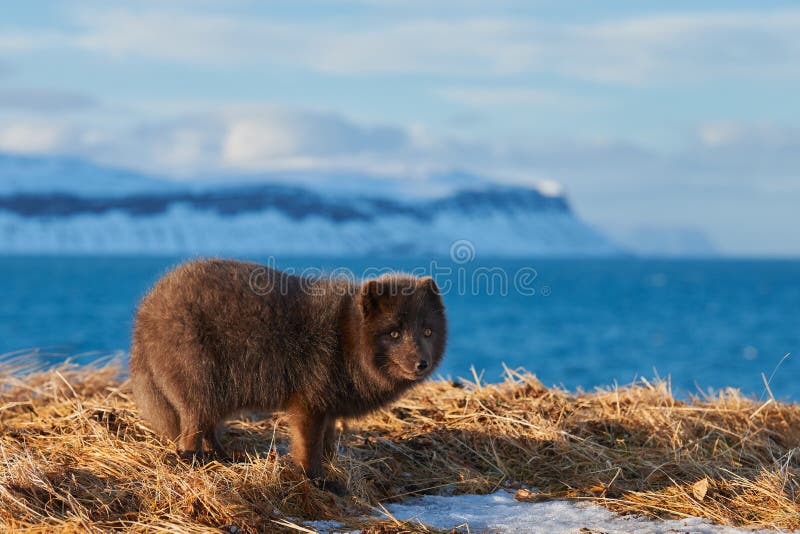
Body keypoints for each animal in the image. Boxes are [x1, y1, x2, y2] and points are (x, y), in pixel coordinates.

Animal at [128, 262, 446, 488]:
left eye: (427, 331)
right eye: (394, 334)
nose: (422, 363)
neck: (345, 338)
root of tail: (144, 312)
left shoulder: (327, 408)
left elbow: (327, 445)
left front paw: (330, 468)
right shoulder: (308, 405)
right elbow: (308, 448)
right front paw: (317, 481)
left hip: (218, 393)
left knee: (207, 428)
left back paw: (225, 457)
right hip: (201, 384)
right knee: (191, 431)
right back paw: (196, 463)